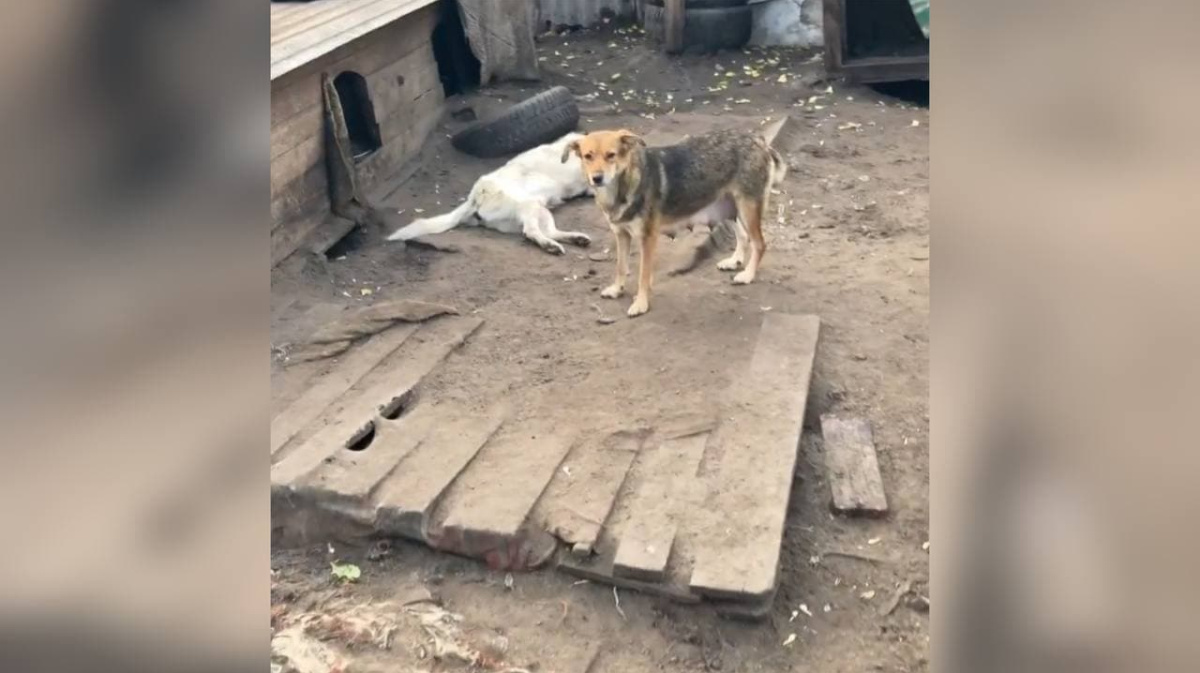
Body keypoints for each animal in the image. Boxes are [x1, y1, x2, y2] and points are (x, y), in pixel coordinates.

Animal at [386, 131, 592, 254]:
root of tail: (473, 198)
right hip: (529, 205)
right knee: (531, 232)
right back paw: (550, 246)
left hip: (540, 210)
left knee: (549, 232)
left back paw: (576, 239)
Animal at [564, 128, 787, 316]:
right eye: (588, 156)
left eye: (611, 155)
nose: (597, 178)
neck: (623, 186)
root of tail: (759, 140)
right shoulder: (621, 234)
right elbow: (621, 266)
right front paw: (616, 290)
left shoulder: (647, 238)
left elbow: (643, 275)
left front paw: (641, 304)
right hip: (727, 209)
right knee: (742, 235)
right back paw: (734, 261)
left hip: (747, 209)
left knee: (759, 243)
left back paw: (747, 275)